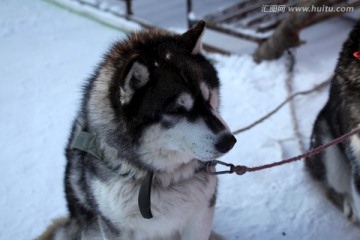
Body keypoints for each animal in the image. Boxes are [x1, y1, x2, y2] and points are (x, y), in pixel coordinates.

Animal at [38, 21, 236, 239]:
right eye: (177, 110)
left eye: (208, 97)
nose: (229, 141)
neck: (157, 177)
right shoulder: (114, 227)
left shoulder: (201, 215)